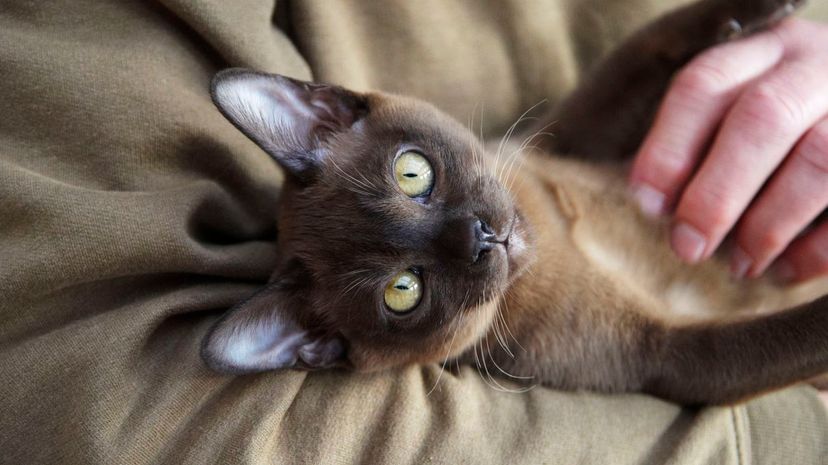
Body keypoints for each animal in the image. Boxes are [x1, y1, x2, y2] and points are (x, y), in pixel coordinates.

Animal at [202, 0, 828, 404]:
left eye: (412, 173)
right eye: (403, 292)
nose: (479, 236)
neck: (553, 240)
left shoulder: (571, 137)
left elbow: (647, 48)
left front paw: (767, 7)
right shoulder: (669, 352)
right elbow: (796, 331)